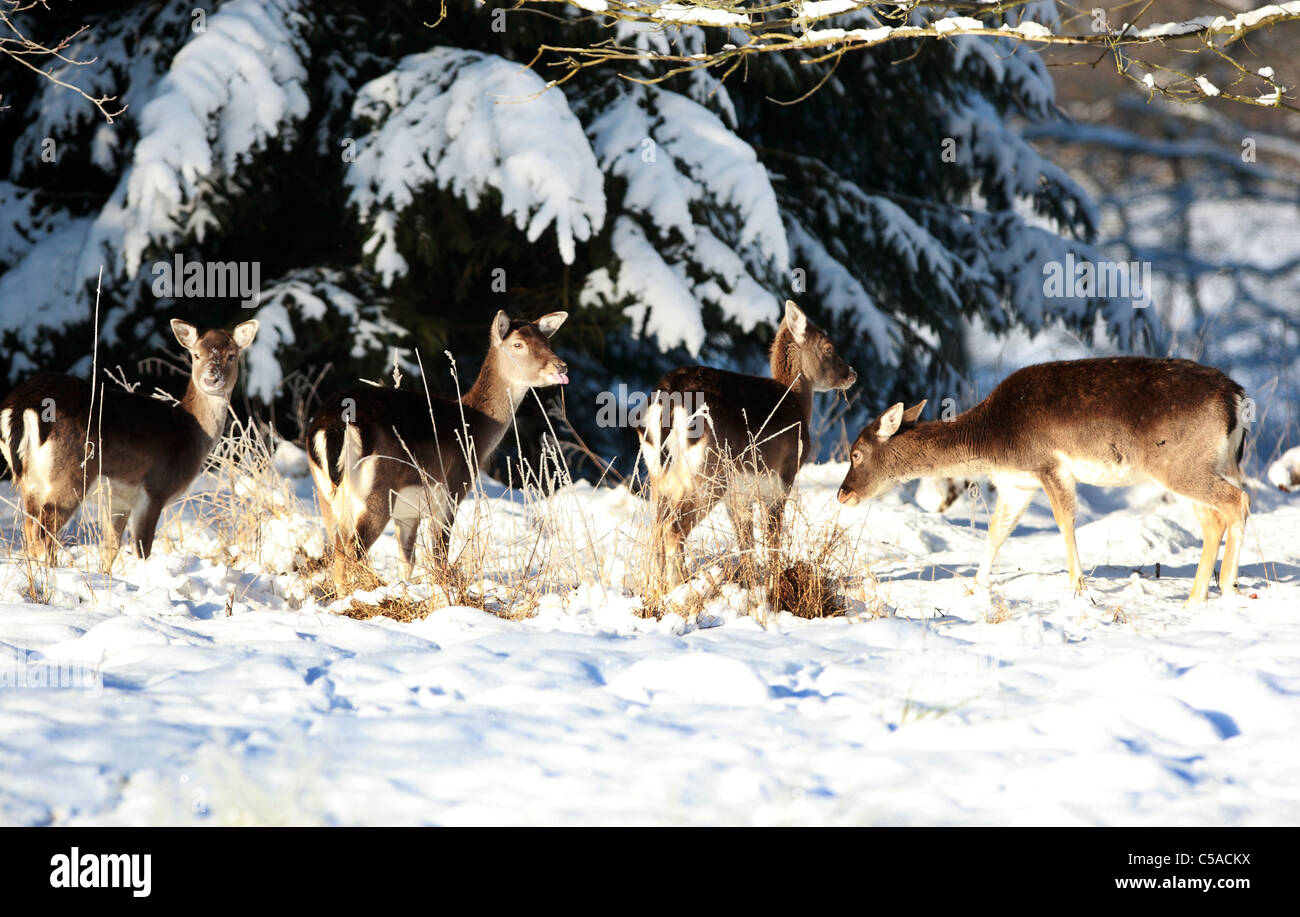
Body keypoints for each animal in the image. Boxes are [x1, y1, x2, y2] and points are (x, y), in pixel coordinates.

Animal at [0, 319, 261, 564]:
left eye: (231, 355)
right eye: (196, 354)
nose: (211, 378)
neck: (190, 430)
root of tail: (22, 405)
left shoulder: (117, 502)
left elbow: (110, 550)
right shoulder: (154, 488)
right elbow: (142, 549)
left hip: (30, 482)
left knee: (29, 530)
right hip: (71, 474)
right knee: (44, 531)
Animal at [306, 306, 572, 580]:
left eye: (547, 342)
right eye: (518, 344)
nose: (560, 366)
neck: (473, 430)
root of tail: (331, 425)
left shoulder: (409, 512)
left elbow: (407, 561)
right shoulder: (452, 488)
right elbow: (438, 557)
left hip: (327, 496)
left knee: (338, 553)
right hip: (377, 491)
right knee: (352, 554)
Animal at [637, 300, 857, 587]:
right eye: (828, 347)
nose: (852, 373)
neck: (796, 402)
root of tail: (668, 398)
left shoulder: (739, 493)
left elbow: (746, 541)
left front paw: (750, 582)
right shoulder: (782, 476)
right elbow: (772, 535)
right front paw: (774, 581)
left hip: (659, 474)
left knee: (656, 530)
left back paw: (658, 586)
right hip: (708, 474)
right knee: (672, 529)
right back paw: (679, 585)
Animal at [832, 353, 1248, 603]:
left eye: (856, 453)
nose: (842, 494)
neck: (992, 440)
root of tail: (1236, 398)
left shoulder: (1049, 465)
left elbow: (1065, 523)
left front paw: (1079, 589)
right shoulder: (1017, 483)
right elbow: (996, 533)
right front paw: (976, 588)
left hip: (1180, 465)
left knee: (1236, 503)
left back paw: (1225, 586)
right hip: (1212, 463)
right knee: (1215, 518)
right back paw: (1198, 596)